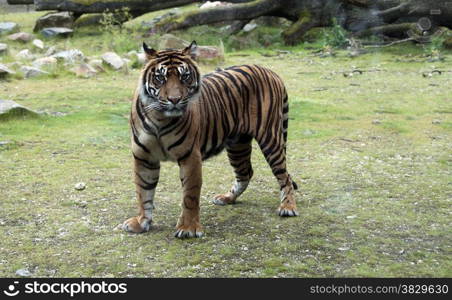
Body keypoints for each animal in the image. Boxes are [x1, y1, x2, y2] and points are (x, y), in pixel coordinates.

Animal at [123, 41, 298, 239]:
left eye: (185, 77)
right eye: (160, 77)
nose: (174, 99)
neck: (159, 117)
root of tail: (270, 71)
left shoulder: (190, 156)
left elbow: (190, 195)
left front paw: (188, 228)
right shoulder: (144, 157)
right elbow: (143, 192)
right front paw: (141, 222)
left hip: (270, 138)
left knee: (285, 175)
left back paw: (288, 207)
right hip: (237, 144)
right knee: (245, 172)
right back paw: (227, 198)